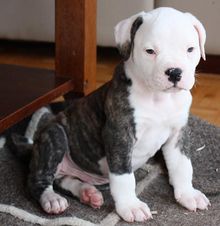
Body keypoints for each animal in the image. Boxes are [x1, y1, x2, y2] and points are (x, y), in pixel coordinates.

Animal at [9, 7, 211, 222]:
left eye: (190, 49)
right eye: (150, 51)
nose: (174, 72)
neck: (159, 97)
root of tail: (33, 149)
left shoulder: (178, 134)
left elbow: (182, 165)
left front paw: (188, 194)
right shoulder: (119, 134)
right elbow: (124, 177)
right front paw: (130, 206)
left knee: (64, 179)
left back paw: (87, 193)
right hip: (54, 136)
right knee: (37, 179)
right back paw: (51, 199)